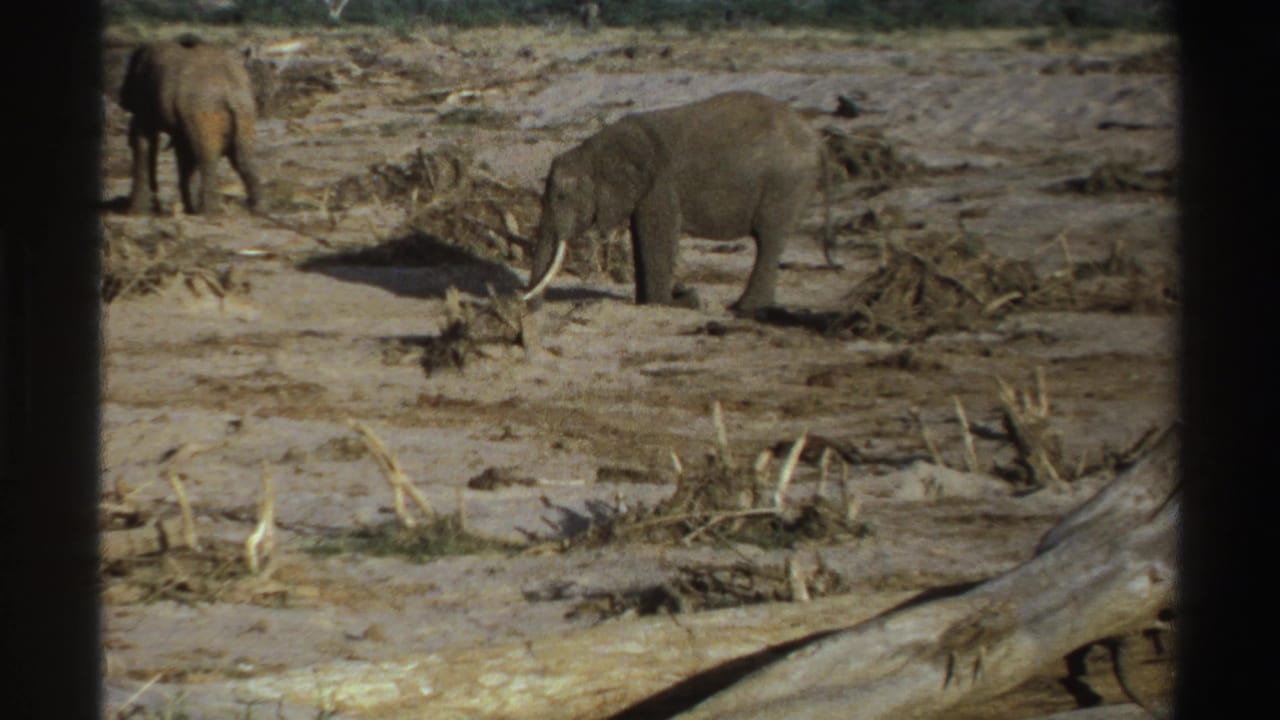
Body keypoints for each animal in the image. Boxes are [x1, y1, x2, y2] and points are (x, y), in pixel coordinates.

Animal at [119, 35, 262, 215]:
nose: (122, 101)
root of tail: (230, 92)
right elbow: (183, 151)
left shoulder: (145, 97)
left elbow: (144, 140)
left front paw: (136, 213)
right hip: (245, 111)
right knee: (243, 156)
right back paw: (258, 209)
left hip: (205, 111)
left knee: (207, 156)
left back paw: (209, 213)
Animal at [523, 91, 833, 313]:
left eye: (562, 196)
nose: (532, 309)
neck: (595, 148)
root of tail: (818, 140)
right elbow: (642, 236)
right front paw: (653, 302)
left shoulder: (661, 185)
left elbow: (659, 235)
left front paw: (673, 302)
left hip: (786, 184)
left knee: (769, 239)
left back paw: (743, 309)